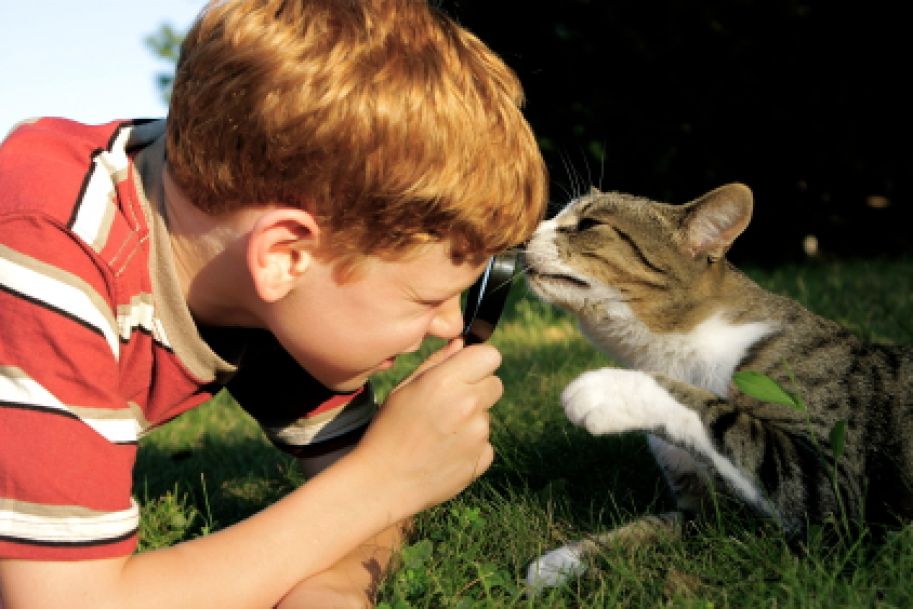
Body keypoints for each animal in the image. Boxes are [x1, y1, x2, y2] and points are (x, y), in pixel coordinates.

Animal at [520, 182, 912, 588]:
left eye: (588, 224)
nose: (523, 234)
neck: (673, 354)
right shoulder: (710, 512)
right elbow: (648, 527)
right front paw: (560, 562)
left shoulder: (830, 481)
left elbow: (721, 416)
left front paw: (609, 390)